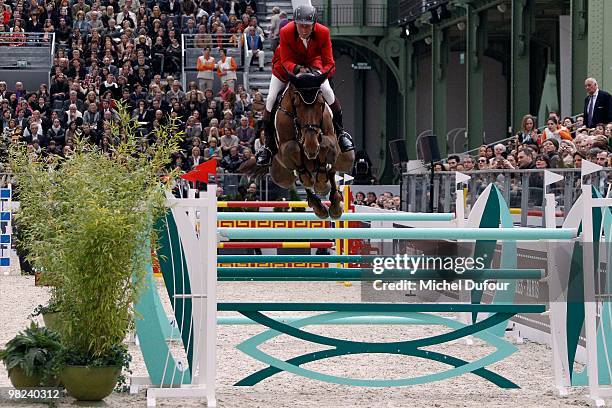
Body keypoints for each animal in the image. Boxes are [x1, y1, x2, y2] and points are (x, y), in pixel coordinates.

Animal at [272, 73, 354, 220]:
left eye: (321, 104)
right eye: (296, 104)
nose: (311, 147)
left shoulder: (331, 140)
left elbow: (325, 145)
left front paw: (322, 184)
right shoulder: (284, 149)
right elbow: (293, 149)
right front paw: (313, 181)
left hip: (346, 159)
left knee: (332, 171)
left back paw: (334, 203)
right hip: (281, 177)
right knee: (298, 179)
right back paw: (317, 204)